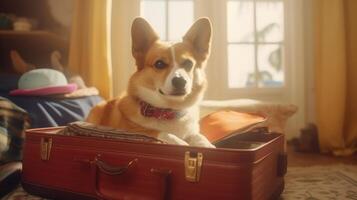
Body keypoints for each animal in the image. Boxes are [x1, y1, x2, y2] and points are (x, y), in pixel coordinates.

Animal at [86, 17, 214, 148]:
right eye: (159, 64)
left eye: (188, 64)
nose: (180, 81)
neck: (168, 111)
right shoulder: (136, 129)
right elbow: (161, 133)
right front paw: (182, 143)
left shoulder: (192, 131)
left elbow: (199, 136)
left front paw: (208, 145)